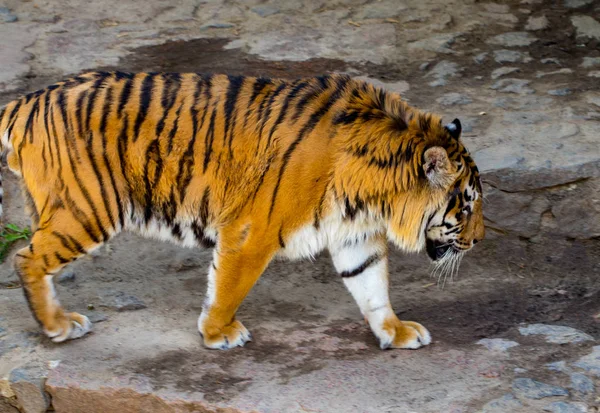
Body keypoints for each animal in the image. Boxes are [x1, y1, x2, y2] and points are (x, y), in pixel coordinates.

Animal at [0, 71, 486, 348]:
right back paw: (59, 325)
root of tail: (27, 100)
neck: (371, 195)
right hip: (88, 209)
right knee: (25, 258)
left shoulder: (356, 235)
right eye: (465, 207)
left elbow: (372, 287)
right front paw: (217, 333)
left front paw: (396, 331)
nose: (479, 240)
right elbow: (228, 287)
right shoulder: (252, 232)